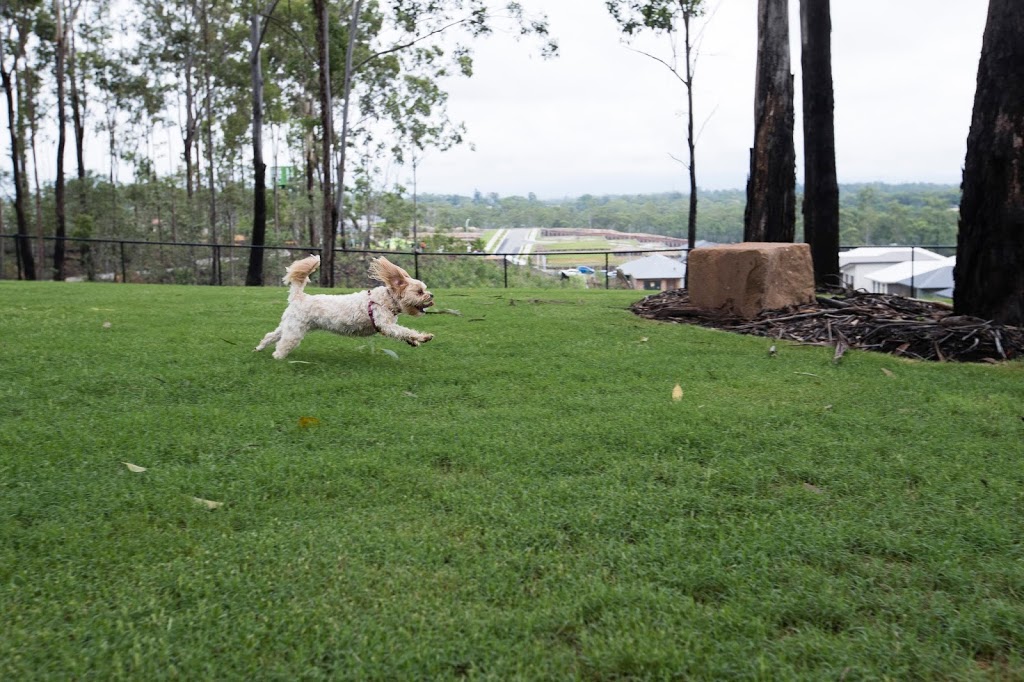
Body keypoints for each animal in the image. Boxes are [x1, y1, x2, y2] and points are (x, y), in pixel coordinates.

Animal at [256, 253, 436, 358]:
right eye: (420, 291)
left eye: (424, 289)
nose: (432, 295)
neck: (386, 300)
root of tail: (299, 296)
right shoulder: (385, 324)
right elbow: (404, 331)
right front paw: (423, 337)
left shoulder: (387, 326)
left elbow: (403, 334)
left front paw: (414, 341)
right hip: (295, 330)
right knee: (283, 344)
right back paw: (278, 357)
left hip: (290, 324)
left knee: (271, 335)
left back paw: (259, 347)